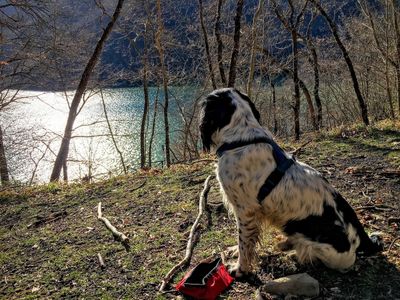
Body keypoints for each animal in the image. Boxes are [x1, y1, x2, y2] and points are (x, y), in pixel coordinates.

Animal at [200, 88, 382, 278]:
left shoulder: (245, 210)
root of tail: (362, 241)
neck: (241, 139)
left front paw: (240, 269)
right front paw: (236, 252)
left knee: (308, 251)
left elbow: (244, 243)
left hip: (316, 244)